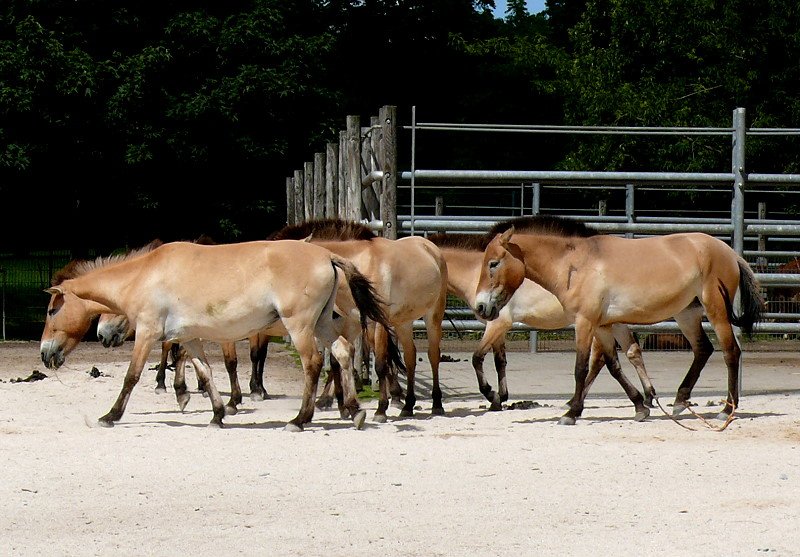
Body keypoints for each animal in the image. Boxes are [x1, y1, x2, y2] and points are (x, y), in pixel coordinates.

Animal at [40, 239, 396, 430]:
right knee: (341, 353)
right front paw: (217, 414)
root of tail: (328, 255)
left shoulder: (147, 334)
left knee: (313, 363)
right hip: (322, 325)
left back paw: (300, 419)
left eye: (52, 311)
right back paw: (354, 410)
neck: (145, 275)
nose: (45, 353)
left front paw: (111, 415)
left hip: (301, 327)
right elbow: (206, 372)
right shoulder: (189, 338)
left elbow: (132, 376)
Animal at [268, 218, 450, 422]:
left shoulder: (378, 322)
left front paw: (380, 410)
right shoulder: (353, 322)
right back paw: (408, 406)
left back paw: (437, 404)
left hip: (433, 316)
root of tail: (430, 248)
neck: (360, 263)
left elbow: (380, 364)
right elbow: (338, 359)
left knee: (433, 355)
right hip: (404, 322)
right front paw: (345, 406)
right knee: (410, 357)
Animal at [428, 232, 660, 410]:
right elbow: (499, 361)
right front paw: (501, 398)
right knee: (631, 352)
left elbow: (477, 358)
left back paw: (576, 402)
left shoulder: (497, 324)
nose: (481, 307)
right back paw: (647, 396)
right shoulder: (496, 328)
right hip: (613, 322)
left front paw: (492, 395)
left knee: (600, 360)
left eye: (493, 264)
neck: (475, 273)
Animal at [476, 215, 764, 424]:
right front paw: (640, 406)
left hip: (716, 311)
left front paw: (571, 414)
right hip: (687, 314)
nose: (481, 306)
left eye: (493, 263)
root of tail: (729, 252)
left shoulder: (585, 323)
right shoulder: (604, 326)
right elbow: (613, 366)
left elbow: (581, 368)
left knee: (730, 352)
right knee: (703, 349)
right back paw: (680, 401)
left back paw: (726, 410)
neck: (575, 264)